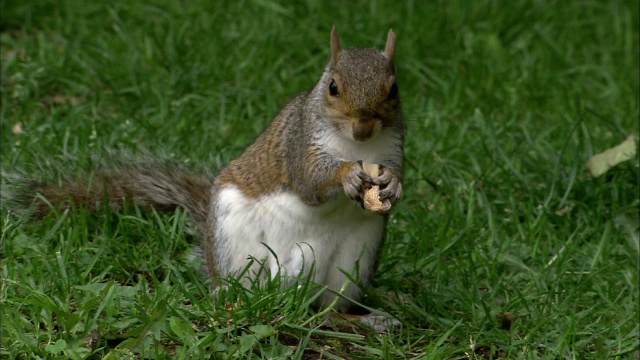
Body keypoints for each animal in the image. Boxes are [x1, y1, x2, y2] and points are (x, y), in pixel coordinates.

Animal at [6, 27, 404, 316]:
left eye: (394, 89)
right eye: (333, 87)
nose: (364, 128)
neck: (356, 147)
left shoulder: (394, 148)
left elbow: (396, 173)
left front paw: (393, 185)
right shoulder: (299, 143)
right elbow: (311, 182)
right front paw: (347, 175)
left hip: (356, 258)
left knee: (330, 309)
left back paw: (365, 319)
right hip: (233, 240)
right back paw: (233, 298)